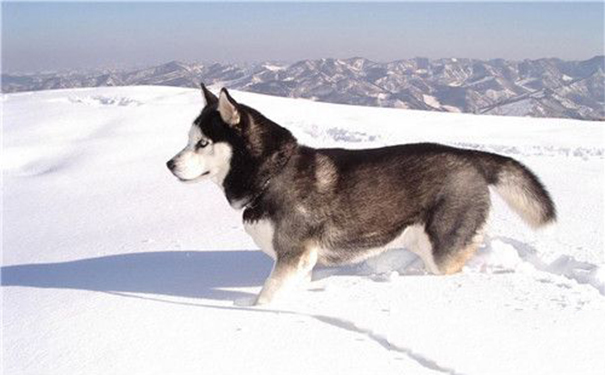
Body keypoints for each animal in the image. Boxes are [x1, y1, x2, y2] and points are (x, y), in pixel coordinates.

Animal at [168, 84, 556, 306]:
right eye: (189, 140)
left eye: (203, 143)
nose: (170, 164)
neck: (271, 175)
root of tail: (468, 156)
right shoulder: (302, 263)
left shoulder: (294, 256)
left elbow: (265, 299)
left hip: (442, 248)